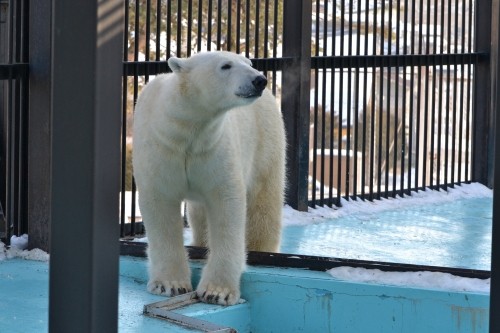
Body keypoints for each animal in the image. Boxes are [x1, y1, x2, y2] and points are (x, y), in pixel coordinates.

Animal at [133, 51, 286, 304]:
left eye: (249, 63)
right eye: (226, 66)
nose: (259, 80)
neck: (188, 130)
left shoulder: (215, 148)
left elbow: (227, 205)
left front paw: (217, 292)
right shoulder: (161, 148)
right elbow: (161, 205)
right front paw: (170, 285)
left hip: (266, 140)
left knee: (264, 203)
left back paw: (262, 249)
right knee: (199, 213)